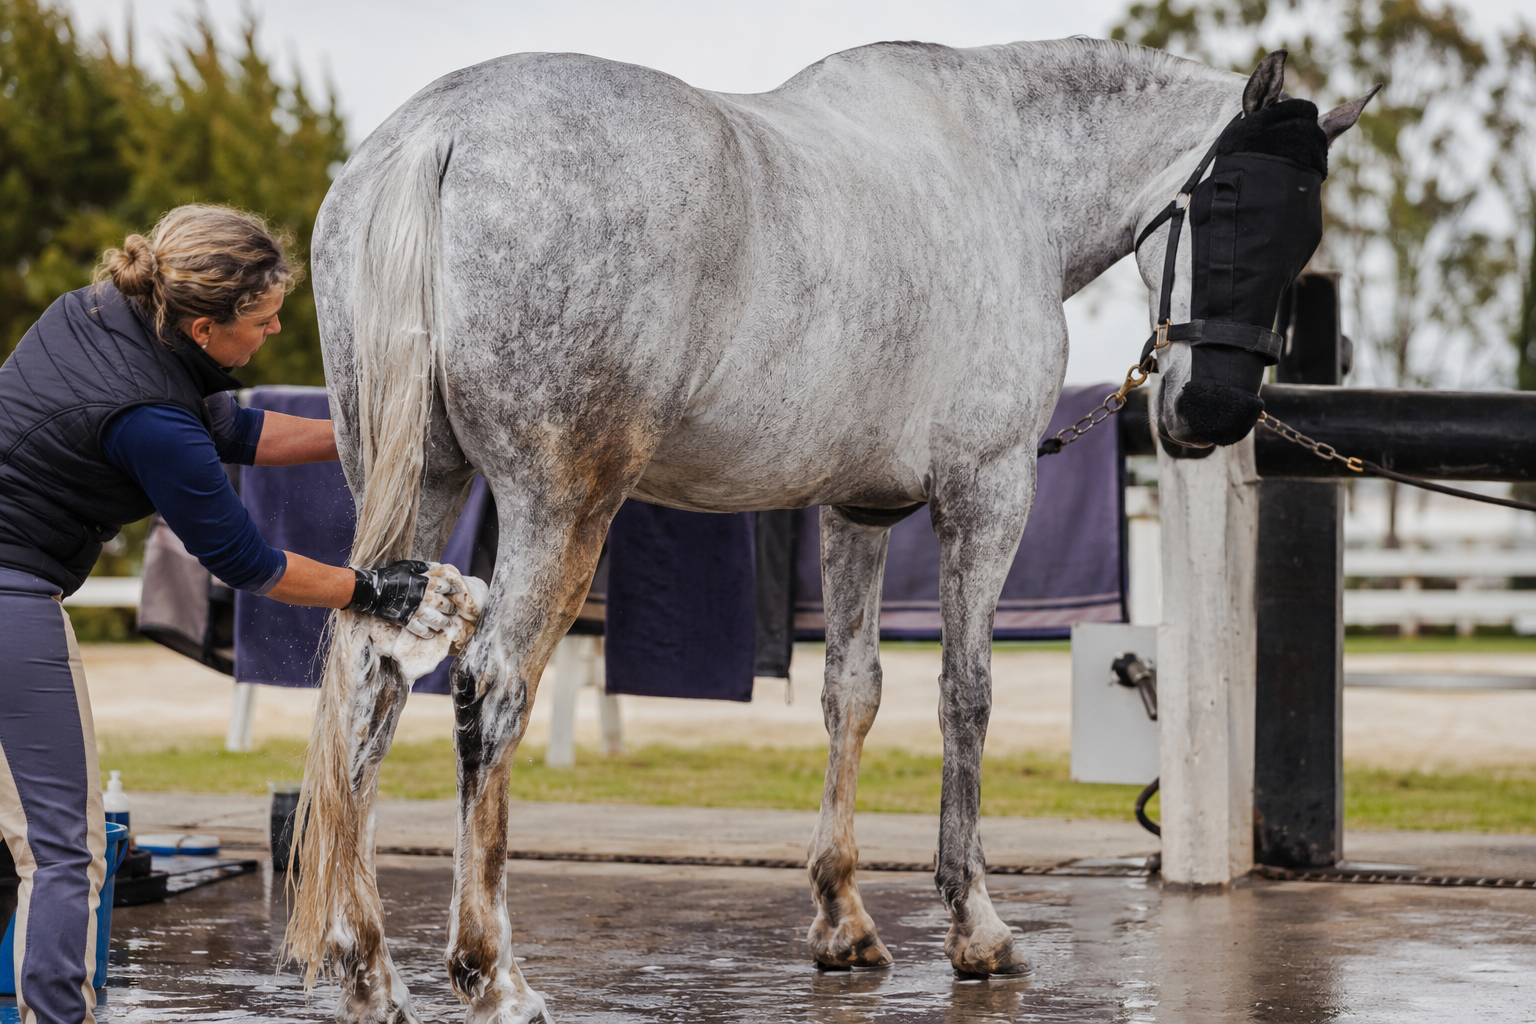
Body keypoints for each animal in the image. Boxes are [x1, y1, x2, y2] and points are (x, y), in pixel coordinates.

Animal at [289, 37, 1372, 1023]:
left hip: (420, 486)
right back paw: (492, 972)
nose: (1213, 414)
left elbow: (853, 692)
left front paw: (843, 920)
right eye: (1228, 205)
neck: (999, 169)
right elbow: (965, 697)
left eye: (1300, 243)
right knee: (493, 689)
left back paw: (370, 969)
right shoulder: (987, 493)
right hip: (560, 508)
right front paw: (976, 925)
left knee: (371, 685)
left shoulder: (859, 507)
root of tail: (441, 133)